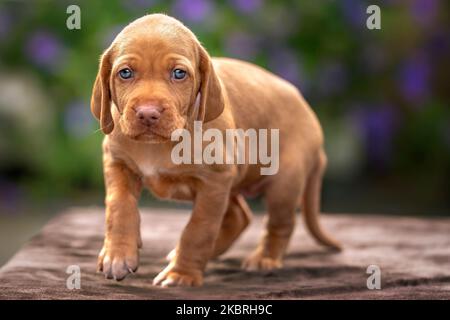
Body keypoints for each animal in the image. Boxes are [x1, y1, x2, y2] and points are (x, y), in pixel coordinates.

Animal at [90, 14, 342, 288]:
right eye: (125, 73)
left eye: (179, 73)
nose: (148, 113)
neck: (159, 145)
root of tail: (310, 116)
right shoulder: (117, 162)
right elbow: (118, 206)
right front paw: (118, 254)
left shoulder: (214, 182)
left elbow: (199, 229)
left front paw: (182, 274)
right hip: (235, 185)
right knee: (240, 217)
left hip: (283, 183)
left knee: (280, 223)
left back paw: (265, 258)